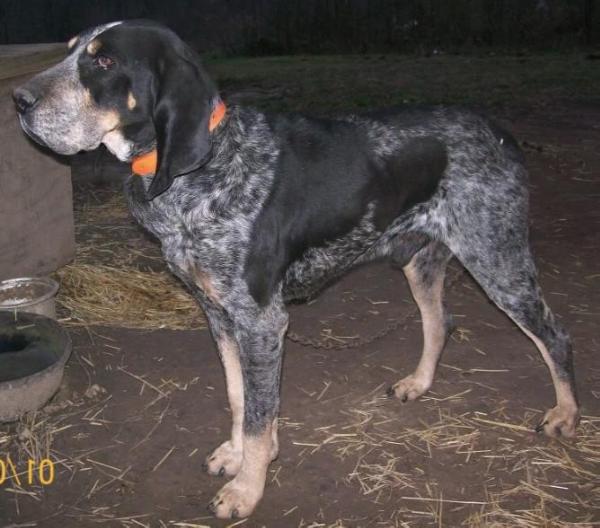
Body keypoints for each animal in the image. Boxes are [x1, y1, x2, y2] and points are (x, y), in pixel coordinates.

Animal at [12, 21, 576, 520]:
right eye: (70, 50)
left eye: (104, 61)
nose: (17, 98)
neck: (208, 169)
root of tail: (500, 132)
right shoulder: (219, 315)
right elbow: (240, 398)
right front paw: (238, 458)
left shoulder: (262, 322)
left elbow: (261, 417)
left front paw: (247, 488)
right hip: (421, 262)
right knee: (441, 322)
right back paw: (418, 383)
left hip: (498, 260)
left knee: (556, 335)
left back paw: (565, 414)